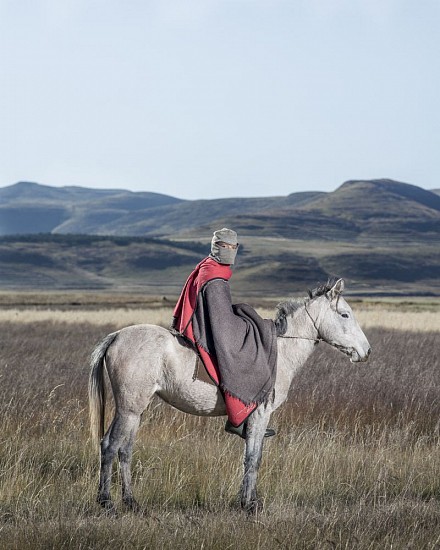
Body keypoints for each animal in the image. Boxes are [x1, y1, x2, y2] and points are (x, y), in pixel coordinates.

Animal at [87, 280, 370, 516]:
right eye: (344, 314)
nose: (366, 351)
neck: (280, 351)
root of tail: (117, 336)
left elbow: (253, 456)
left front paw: (248, 500)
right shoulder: (260, 414)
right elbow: (253, 458)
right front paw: (249, 505)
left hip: (135, 411)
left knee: (123, 449)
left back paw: (131, 503)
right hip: (129, 410)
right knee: (111, 446)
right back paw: (107, 503)